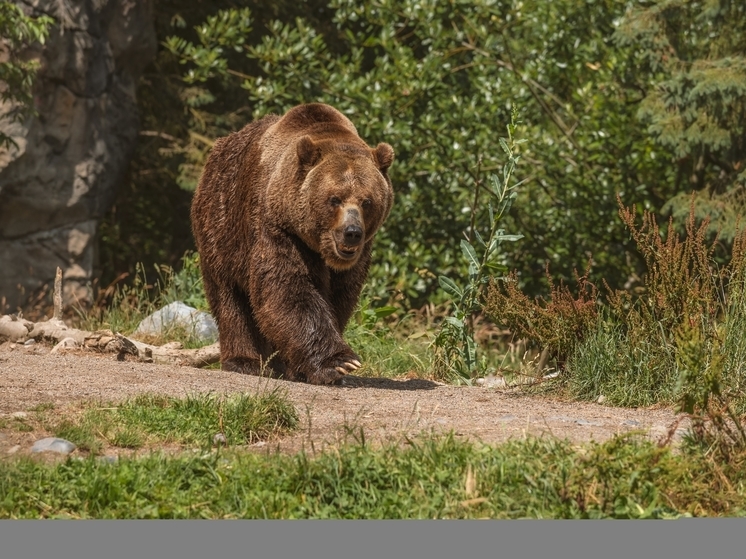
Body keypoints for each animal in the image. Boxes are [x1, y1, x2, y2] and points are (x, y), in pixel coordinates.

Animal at [189, 104, 392, 384]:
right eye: (334, 199)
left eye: (367, 201)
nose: (352, 233)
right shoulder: (278, 228)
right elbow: (287, 288)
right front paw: (339, 362)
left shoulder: (354, 260)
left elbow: (340, 297)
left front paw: (306, 367)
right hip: (221, 225)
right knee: (229, 297)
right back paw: (244, 361)